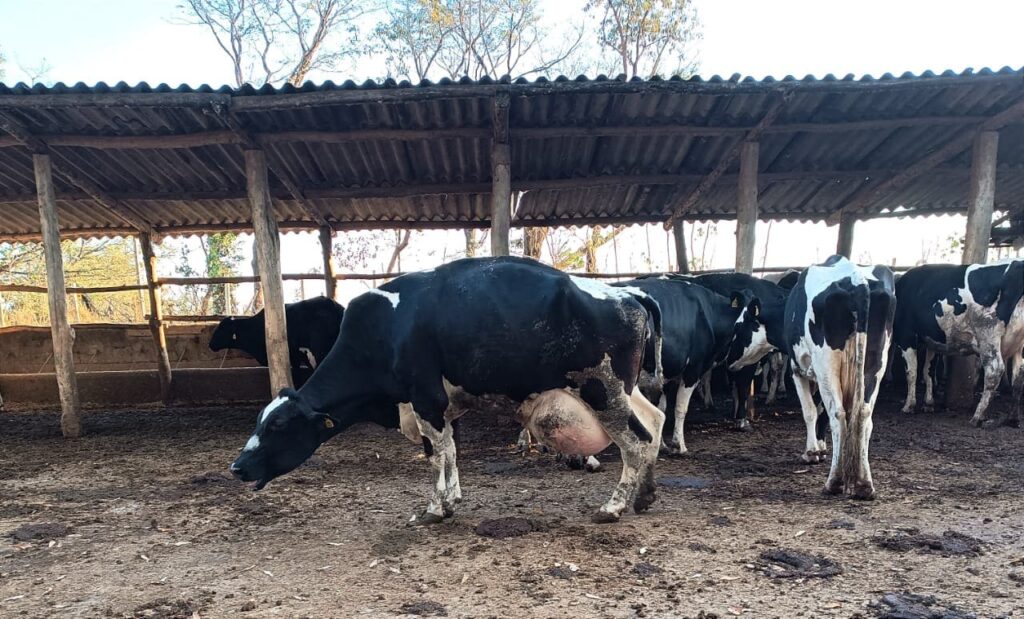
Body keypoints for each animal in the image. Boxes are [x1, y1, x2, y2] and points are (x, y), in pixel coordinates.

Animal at [229, 257, 666, 524]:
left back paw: (613, 506)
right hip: (624, 391)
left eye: (277, 427)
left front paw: (434, 509)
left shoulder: (425, 398)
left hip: (604, 392)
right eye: (260, 421)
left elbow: (436, 454)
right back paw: (645, 495)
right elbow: (451, 451)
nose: (237, 467)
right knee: (656, 421)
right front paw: (451, 500)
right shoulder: (440, 407)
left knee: (637, 441)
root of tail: (628, 293)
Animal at [611, 275, 768, 455]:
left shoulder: (666, 374)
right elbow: (680, 408)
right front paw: (679, 445)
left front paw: (662, 445)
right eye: (753, 320)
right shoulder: (693, 370)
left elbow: (661, 408)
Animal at [783, 255, 896, 499]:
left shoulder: (797, 368)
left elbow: (810, 411)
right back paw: (864, 484)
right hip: (876, 360)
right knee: (864, 414)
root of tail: (857, 278)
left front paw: (812, 452)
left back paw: (834, 481)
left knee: (837, 413)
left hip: (826, 363)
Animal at [893, 261, 1024, 427]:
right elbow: (928, 371)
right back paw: (1013, 418)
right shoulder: (932, 342)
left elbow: (911, 372)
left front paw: (909, 405)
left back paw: (977, 416)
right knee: (1018, 378)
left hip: (988, 336)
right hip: (1019, 345)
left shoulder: (906, 336)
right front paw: (928, 403)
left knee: (994, 371)